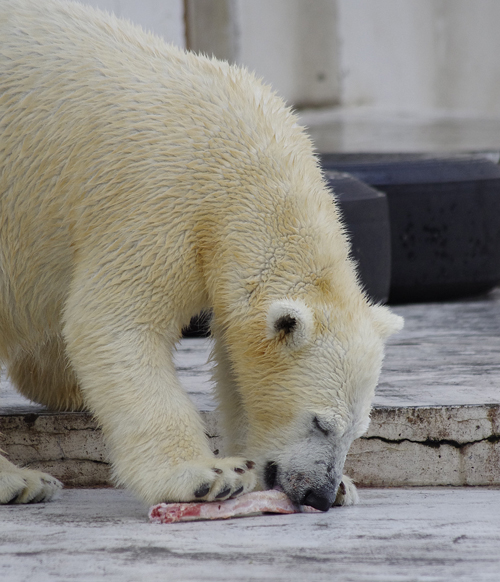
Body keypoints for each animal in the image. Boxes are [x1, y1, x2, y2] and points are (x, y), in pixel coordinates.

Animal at [0, 0, 400, 512]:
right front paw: (207, 474)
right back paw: (21, 480)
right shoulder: (159, 205)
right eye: (320, 422)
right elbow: (114, 322)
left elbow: (235, 361)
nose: (321, 494)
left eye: (357, 431)